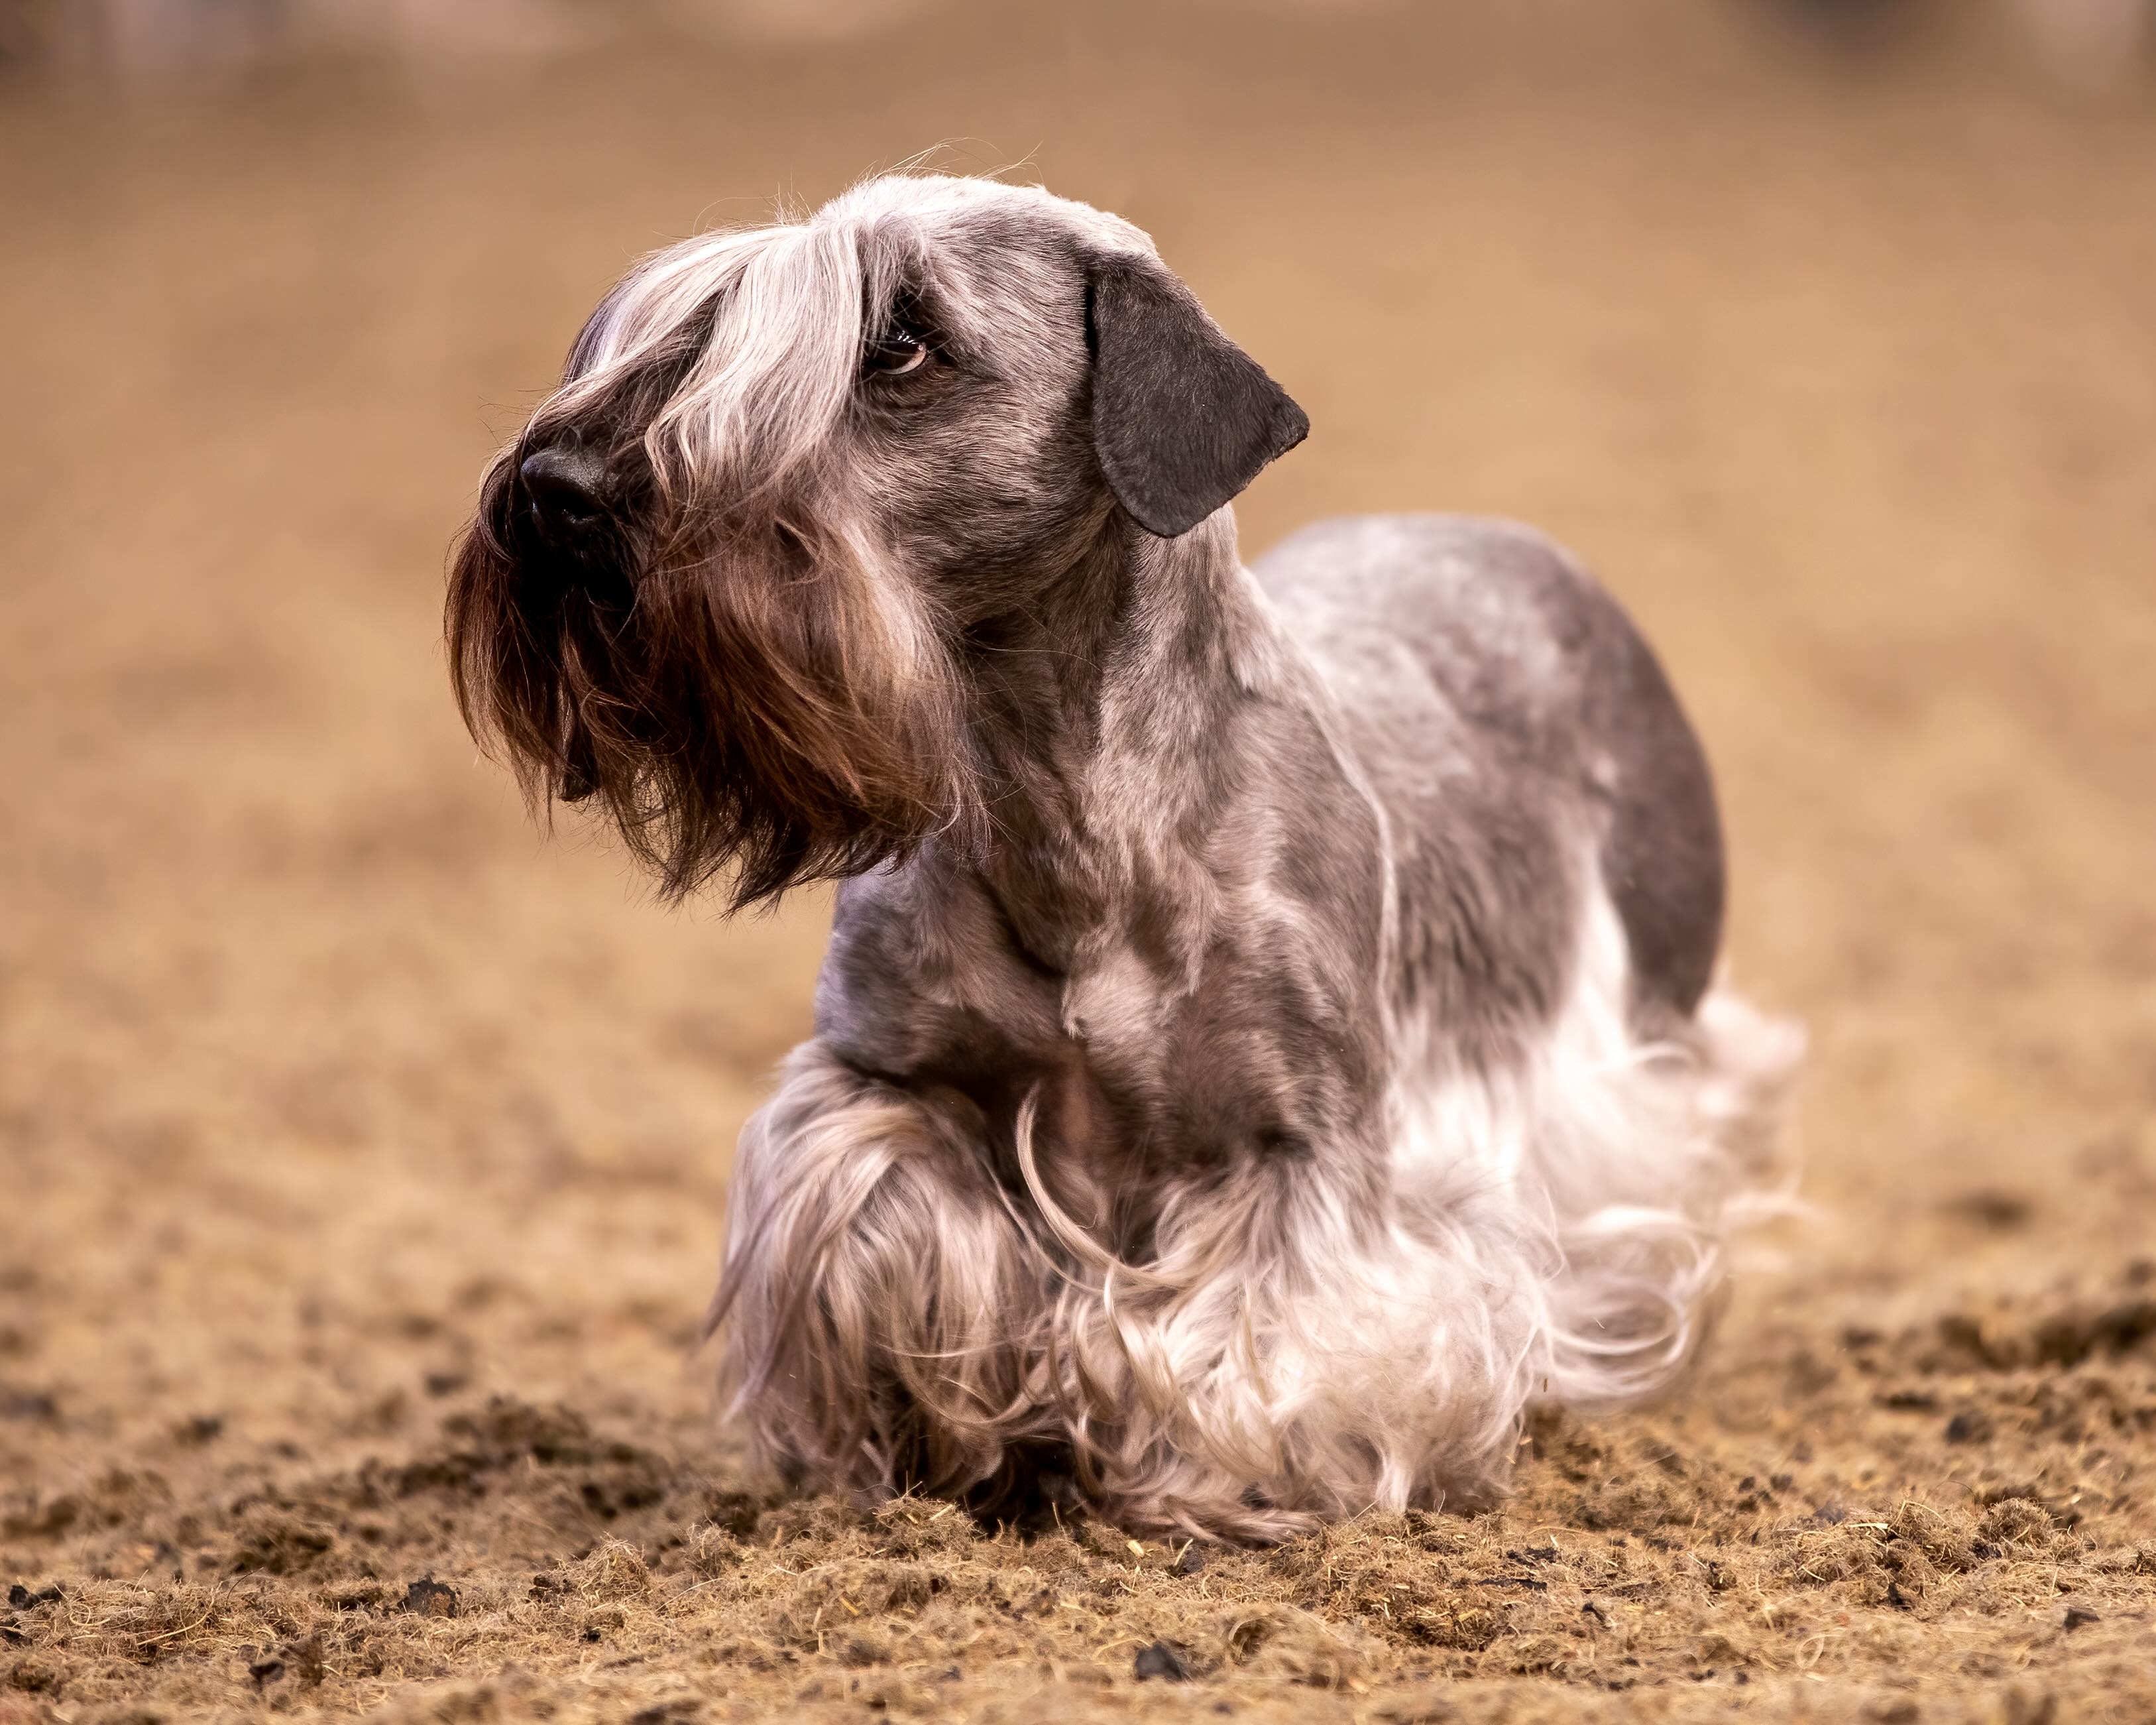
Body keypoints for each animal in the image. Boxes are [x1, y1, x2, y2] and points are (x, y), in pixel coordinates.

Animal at [441, 174, 1802, 1543]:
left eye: (902, 341)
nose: (556, 488)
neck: (1066, 822)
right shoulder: (878, 1081)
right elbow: (903, 1236)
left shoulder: (1303, 1148)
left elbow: (1267, 1343)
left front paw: (1218, 1477)